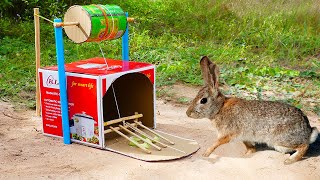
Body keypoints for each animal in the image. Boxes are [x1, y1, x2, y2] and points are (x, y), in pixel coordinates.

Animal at [186, 56, 318, 165]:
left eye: (203, 100)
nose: (188, 113)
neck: (220, 108)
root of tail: (308, 131)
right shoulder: (245, 137)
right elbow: (250, 147)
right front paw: (247, 154)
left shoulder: (227, 134)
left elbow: (216, 143)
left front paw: (205, 154)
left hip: (280, 140)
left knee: (304, 146)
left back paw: (290, 160)